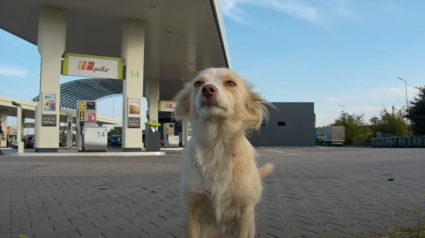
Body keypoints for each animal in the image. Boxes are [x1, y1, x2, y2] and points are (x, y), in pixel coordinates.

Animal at [172, 67, 274, 238]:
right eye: (198, 83)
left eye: (230, 83)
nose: (207, 89)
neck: (217, 147)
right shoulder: (190, 211)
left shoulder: (244, 214)